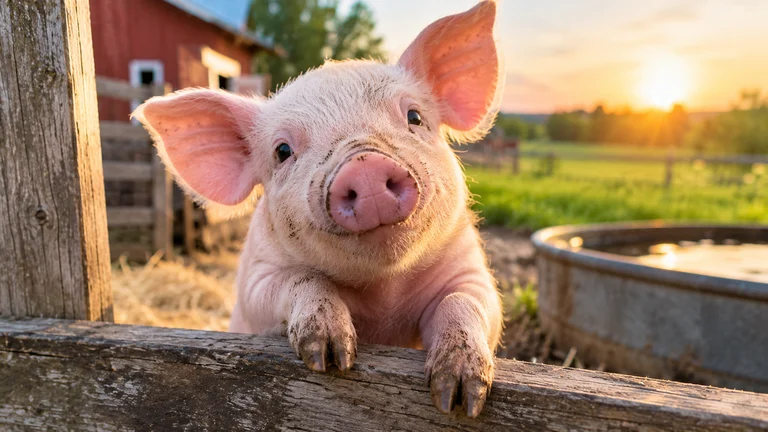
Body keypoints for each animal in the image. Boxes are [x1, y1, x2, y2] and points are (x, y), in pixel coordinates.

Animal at [133, 0, 503, 418]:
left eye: (415, 117)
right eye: (282, 151)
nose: (365, 166)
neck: (383, 298)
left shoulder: (471, 270)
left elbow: (467, 300)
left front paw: (456, 400)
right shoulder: (255, 283)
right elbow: (300, 279)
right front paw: (329, 359)